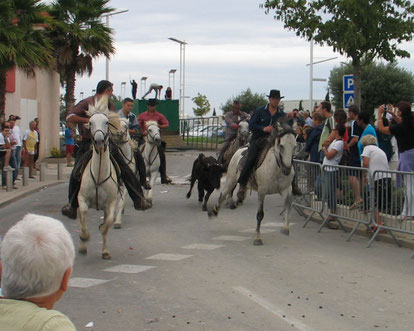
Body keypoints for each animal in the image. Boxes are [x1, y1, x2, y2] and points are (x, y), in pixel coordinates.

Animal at [77, 97, 119, 260]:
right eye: (90, 122)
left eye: (106, 122)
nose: (99, 141)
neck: (99, 172)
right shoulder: (82, 198)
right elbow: (83, 214)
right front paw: (85, 237)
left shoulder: (111, 203)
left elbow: (107, 223)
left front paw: (105, 251)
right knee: (79, 218)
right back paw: (82, 245)